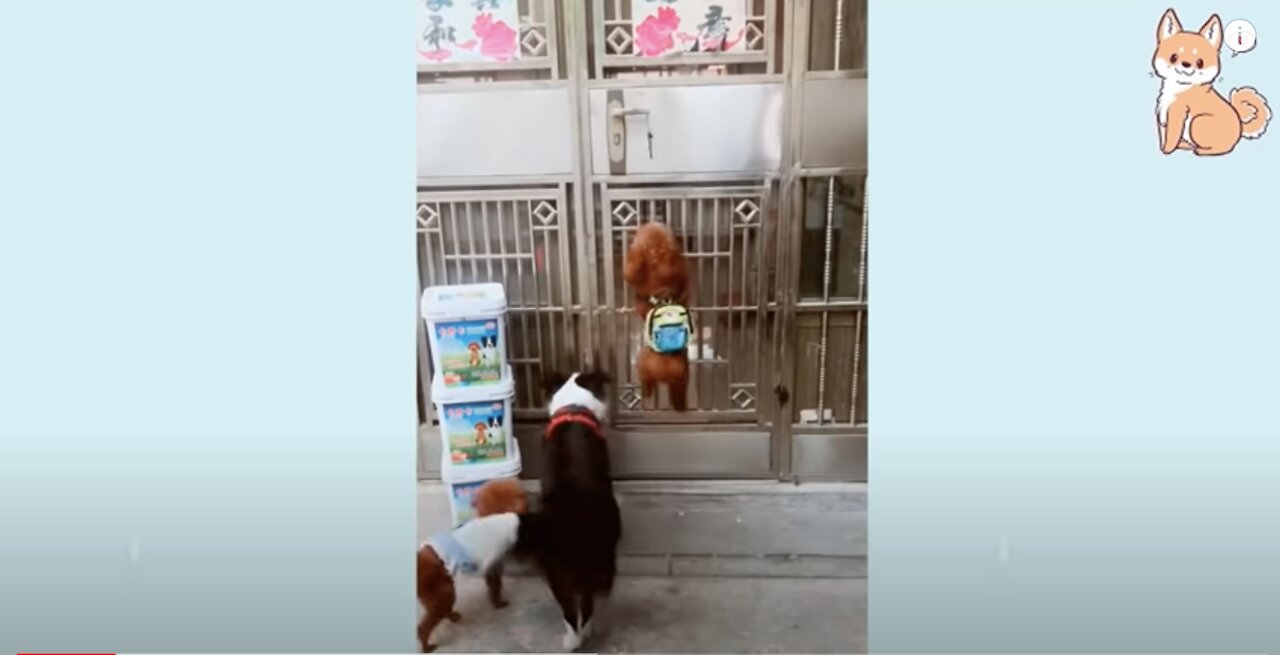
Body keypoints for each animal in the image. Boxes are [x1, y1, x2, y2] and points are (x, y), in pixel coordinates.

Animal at [509, 370, 619, 652]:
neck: (573, 408)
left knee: (572, 609)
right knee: (584, 604)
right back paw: (583, 634)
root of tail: (572, 520)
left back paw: (574, 639)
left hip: (560, 571)